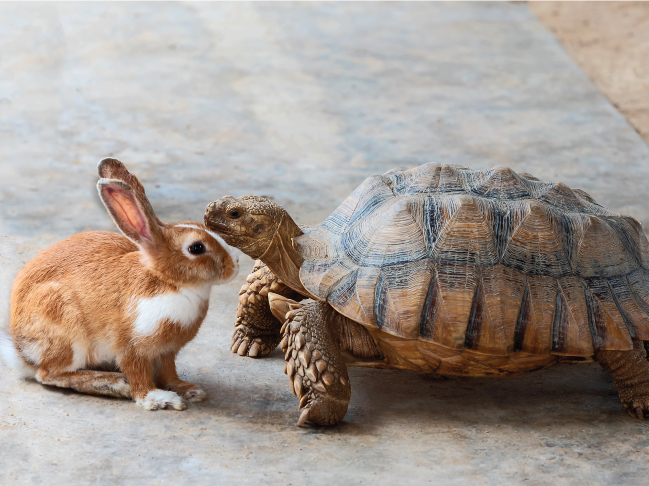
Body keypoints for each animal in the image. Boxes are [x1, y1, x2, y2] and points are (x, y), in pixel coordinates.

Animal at [5, 158, 238, 410]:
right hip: (66, 332)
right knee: (49, 373)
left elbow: (169, 373)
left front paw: (189, 390)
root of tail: (20, 352)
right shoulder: (131, 346)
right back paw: (113, 384)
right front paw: (158, 399)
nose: (234, 264)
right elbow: (138, 376)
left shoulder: (167, 352)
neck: (169, 283)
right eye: (196, 248)